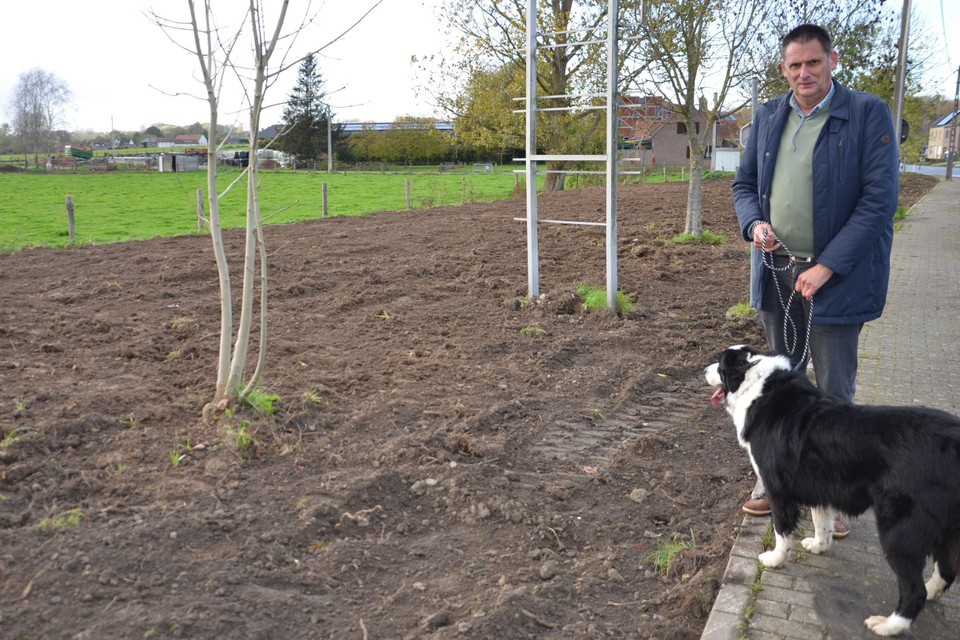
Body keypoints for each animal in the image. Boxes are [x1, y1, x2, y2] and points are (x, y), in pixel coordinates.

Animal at [704, 344, 960, 636]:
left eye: (720, 366)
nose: (704, 370)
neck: (757, 386)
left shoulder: (777, 488)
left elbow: (781, 529)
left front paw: (775, 559)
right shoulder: (819, 484)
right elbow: (821, 519)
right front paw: (819, 545)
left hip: (900, 530)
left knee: (914, 589)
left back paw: (887, 625)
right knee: (945, 571)